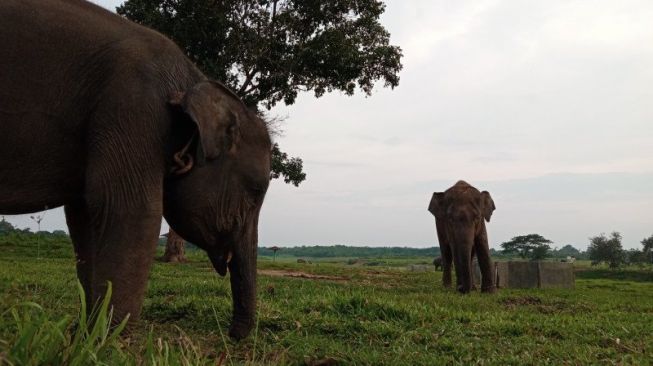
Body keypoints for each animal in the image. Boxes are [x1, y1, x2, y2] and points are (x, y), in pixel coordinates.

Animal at [0, 0, 270, 340]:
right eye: (256, 191)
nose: (233, 334)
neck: (191, 80)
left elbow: (87, 218)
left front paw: (85, 335)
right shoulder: (133, 109)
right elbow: (132, 211)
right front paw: (108, 341)